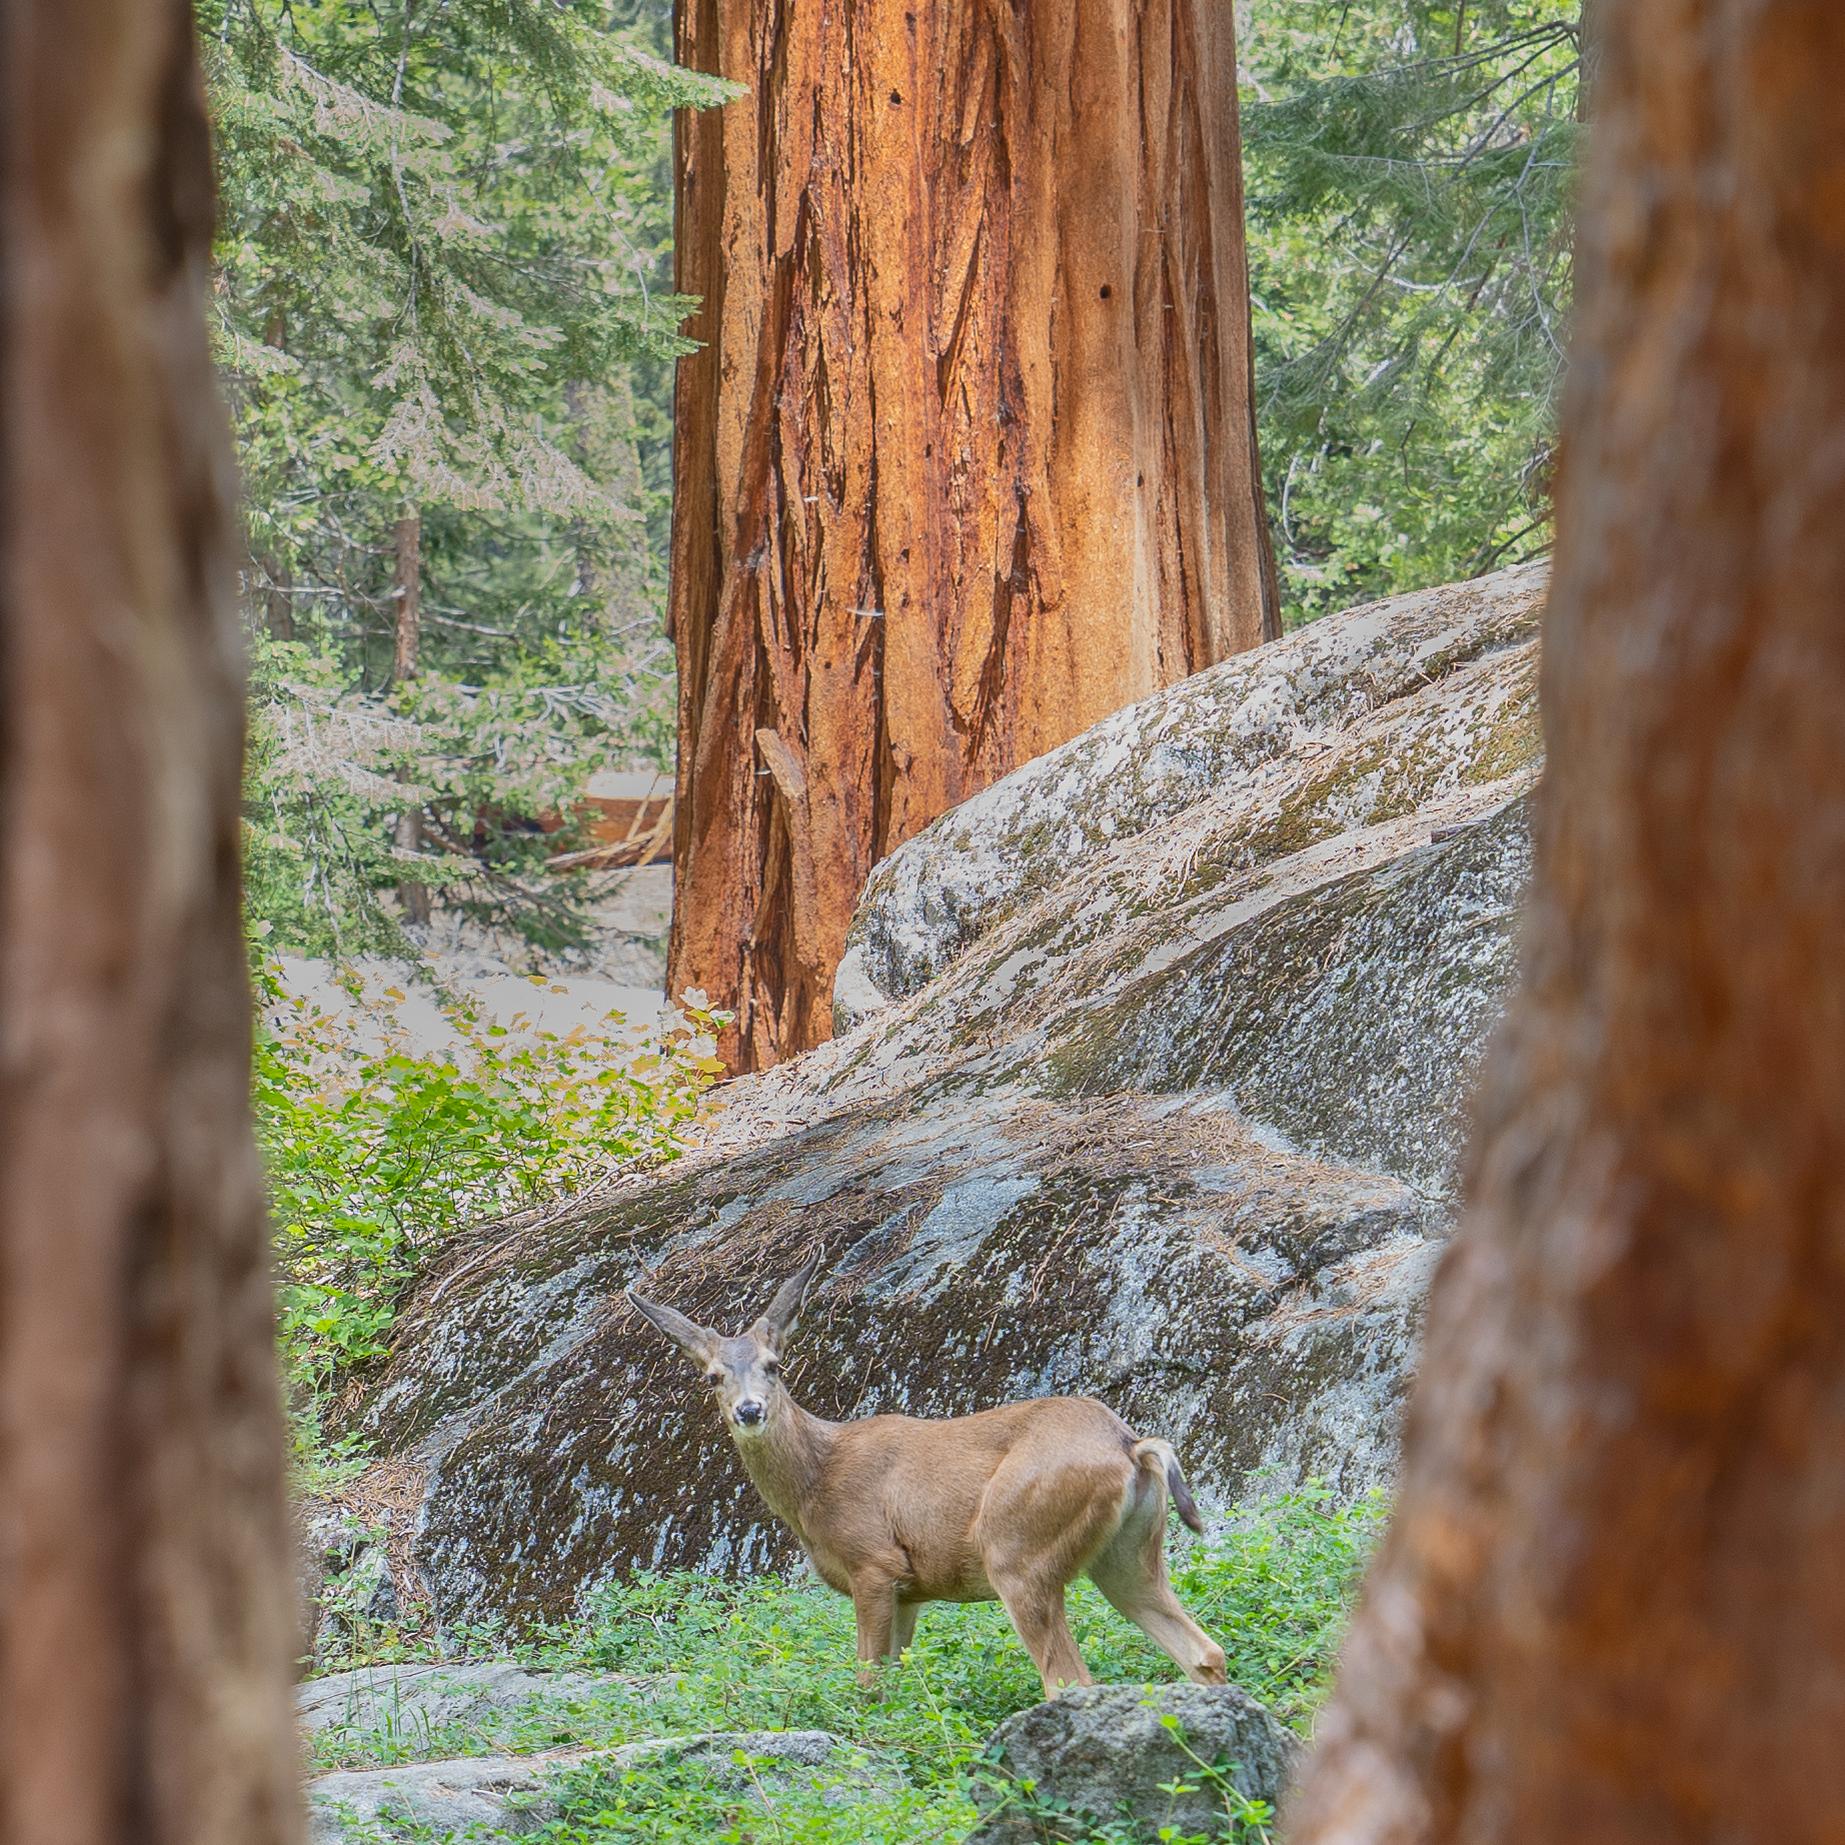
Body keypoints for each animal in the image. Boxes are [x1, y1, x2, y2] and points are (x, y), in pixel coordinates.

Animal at [627, 1250, 1228, 1699]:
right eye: (712, 1377)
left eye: (774, 1366)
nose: (749, 1410)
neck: (816, 1483)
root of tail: (1132, 1446)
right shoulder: (911, 1590)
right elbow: (894, 1679)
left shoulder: (874, 1563)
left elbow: (868, 1682)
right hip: (1127, 1554)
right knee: (1204, 1651)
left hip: (1018, 1548)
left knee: (1068, 1679)